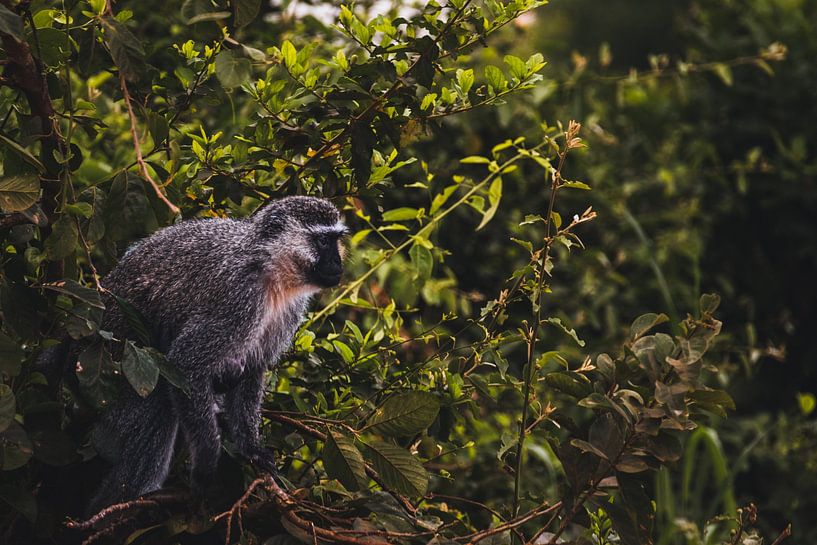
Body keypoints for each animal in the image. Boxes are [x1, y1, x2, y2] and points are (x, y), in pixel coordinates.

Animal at [83, 196, 347, 515]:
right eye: (322, 241)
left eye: (336, 240)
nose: (337, 263)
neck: (271, 269)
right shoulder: (239, 299)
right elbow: (186, 362)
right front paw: (207, 465)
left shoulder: (289, 309)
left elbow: (253, 368)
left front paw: (250, 448)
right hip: (115, 359)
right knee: (157, 398)